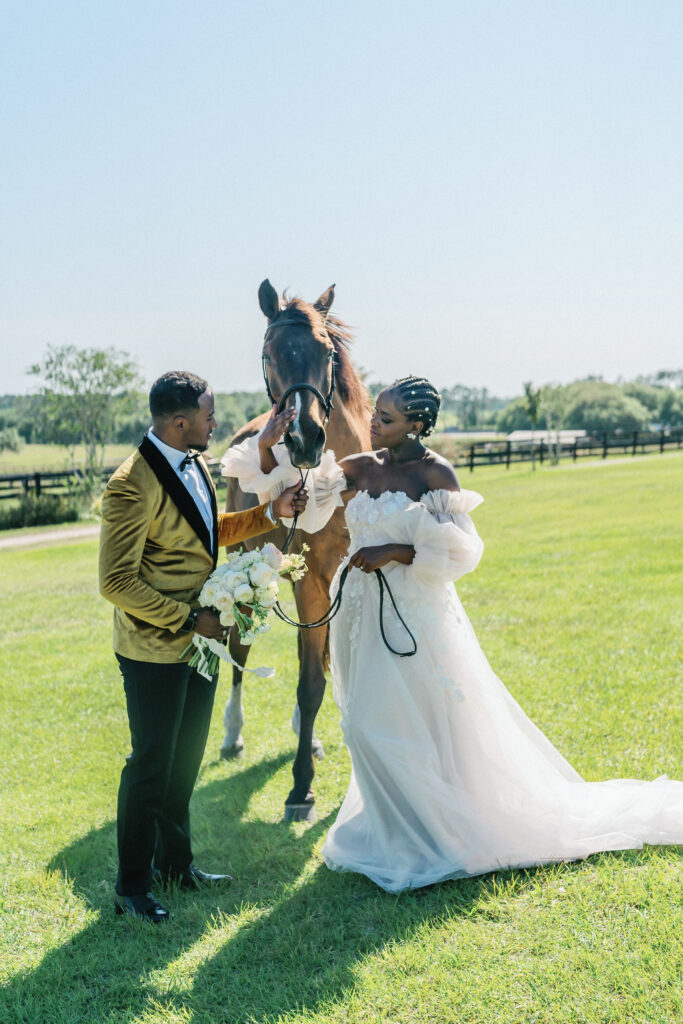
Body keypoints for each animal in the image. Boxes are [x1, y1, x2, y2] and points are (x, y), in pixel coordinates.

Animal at [220, 282, 370, 823]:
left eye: (326, 353)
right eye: (268, 355)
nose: (304, 438)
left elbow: (328, 670)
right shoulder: (311, 584)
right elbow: (309, 684)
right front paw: (300, 788)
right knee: (237, 651)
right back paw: (233, 734)